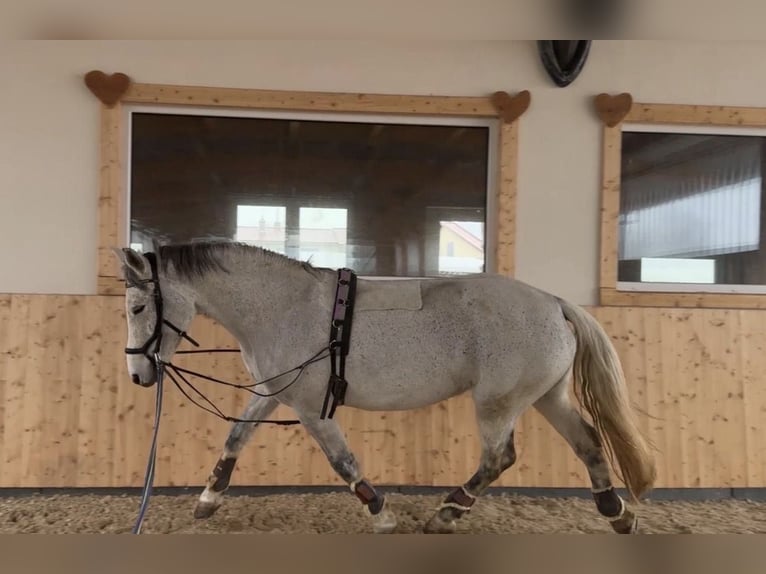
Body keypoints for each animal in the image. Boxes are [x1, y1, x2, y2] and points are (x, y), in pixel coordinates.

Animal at [113, 240, 656, 534]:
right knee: (588, 442)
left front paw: (381, 513)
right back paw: (617, 514)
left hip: (498, 403)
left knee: (499, 458)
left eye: (137, 307)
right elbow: (235, 438)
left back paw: (447, 513)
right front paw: (206, 500)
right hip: (545, 396)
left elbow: (342, 461)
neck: (281, 307)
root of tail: (552, 302)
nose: (139, 375)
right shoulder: (274, 393)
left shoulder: (311, 407)